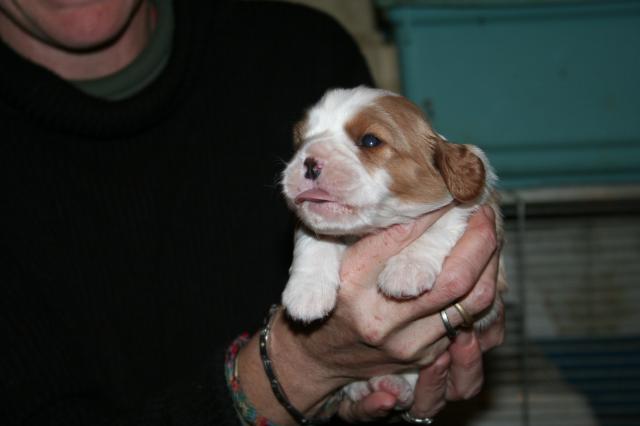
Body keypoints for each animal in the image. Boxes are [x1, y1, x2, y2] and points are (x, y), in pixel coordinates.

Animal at [280, 85, 504, 406]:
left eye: (370, 140)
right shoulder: (314, 224)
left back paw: (395, 384)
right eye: (300, 141)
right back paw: (365, 386)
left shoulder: (477, 205)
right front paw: (306, 294)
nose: (308, 162)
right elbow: (314, 240)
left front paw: (405, 272)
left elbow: (443, 222)